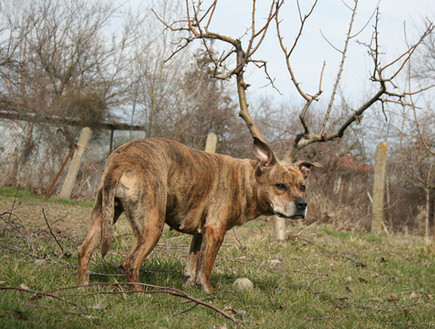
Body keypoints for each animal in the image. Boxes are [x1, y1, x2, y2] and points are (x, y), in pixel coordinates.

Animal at [77, 136, 320, 292]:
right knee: (131, 262)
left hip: (104, 216)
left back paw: (83, 288)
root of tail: (122, 160)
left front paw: (188, 286)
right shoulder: (215, 232)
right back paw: (139, 294)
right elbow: (206, 267)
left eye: (302, 187)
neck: (246, 180)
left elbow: (193, 264)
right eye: (280, 186)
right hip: (152, 227)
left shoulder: (199, 234)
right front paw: (207, 292)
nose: (302, 204)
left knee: (84, 250)